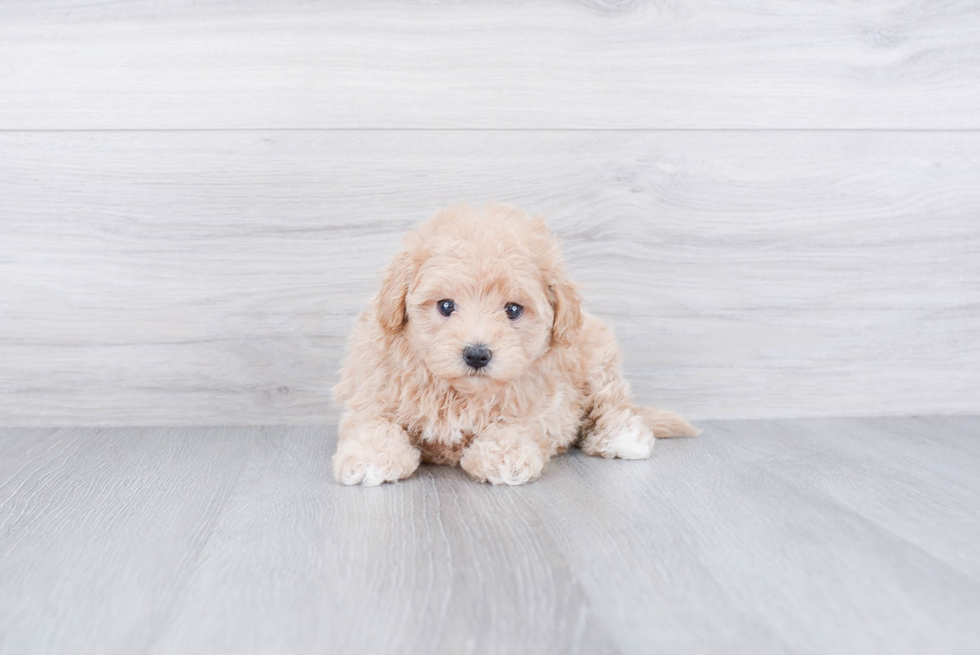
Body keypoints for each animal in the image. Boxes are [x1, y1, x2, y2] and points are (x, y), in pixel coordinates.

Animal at [332, 205, 696, 486]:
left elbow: (516, 424)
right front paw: (371, 456)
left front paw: (502, 456)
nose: (477, 354)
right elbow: (373, 422)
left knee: (613, 403)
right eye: (446, 306)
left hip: (597, 358)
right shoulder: (372, 388)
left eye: (513, 310)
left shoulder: (546, 403)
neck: (461, 394)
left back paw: (622, 436)